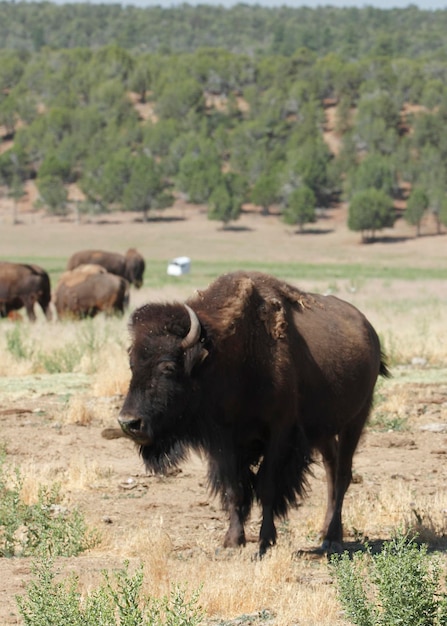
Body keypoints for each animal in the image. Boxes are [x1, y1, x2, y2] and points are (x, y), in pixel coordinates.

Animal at [117, 270, 390, 552]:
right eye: (132, 363)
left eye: (168, 367)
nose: (129, 422)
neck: (228, 355)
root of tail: (369, 331)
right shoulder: (225, 442)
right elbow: (234, 489)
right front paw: (232, 541)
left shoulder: (279, 433)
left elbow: (267, 486)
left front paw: (266, 540)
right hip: (323, 430)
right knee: (331, 470)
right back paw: (324, 533)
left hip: (355, 421)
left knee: (343, 473)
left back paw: (333, 537)